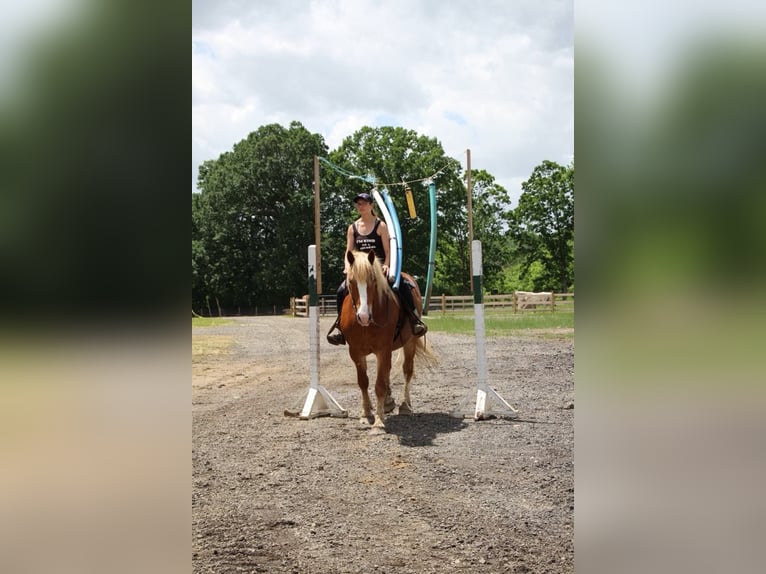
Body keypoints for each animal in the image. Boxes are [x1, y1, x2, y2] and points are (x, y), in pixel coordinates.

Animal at [344, 250, 436, 434]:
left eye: (373, 281)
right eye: (351, 281)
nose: (363, 316)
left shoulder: (383, 349)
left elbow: (379, 385)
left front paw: (379, 421)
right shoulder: (355, 351)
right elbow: (363, 382)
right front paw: (366, 414)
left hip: (410, 342)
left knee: (407, 371)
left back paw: (404, 406)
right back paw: (386, 404)